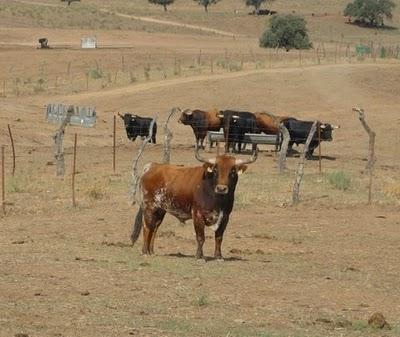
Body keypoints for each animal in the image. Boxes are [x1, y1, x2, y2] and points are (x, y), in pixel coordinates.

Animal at [130, 147, 258, 260]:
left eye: (232, 171)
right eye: (215, 170)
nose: (221, 188)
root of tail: (152, 166)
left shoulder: (225, 216)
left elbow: (219, 237)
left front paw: (218, 256)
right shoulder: (197, 215)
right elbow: (200, 237)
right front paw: (199, 257)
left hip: (160, 209)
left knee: (155, 227)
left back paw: (151, 251)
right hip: (149, 206)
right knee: (147, 227)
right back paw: (145, 252)